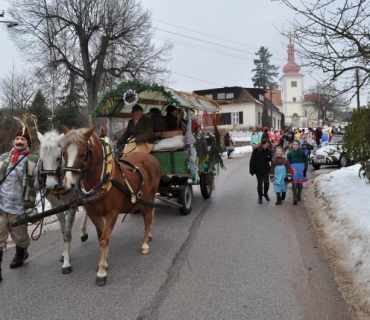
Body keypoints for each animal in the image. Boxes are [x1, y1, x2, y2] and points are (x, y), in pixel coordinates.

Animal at [36, 131, 89, 274]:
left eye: (58, 158)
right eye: (42, 159)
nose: (50, 185)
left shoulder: (72, 204)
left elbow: (68, 234)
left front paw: (66, 263)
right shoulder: (57, 207)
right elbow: (63, 231)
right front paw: (65, 254)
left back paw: (83, 232)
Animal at [60, 126, 161, 286]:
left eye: (82, 154)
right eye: (64, 153)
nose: (68, 184)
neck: (103, 179)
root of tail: (150, 157)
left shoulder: (112, 213)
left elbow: (105, 239)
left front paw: (101, 272)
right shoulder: (94, 214)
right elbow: (101, 237)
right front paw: (104, 263)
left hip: (151, 194)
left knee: (148, 218)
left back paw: (145, 244)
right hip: (142, 200)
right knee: (148, 216)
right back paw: (149, 236)